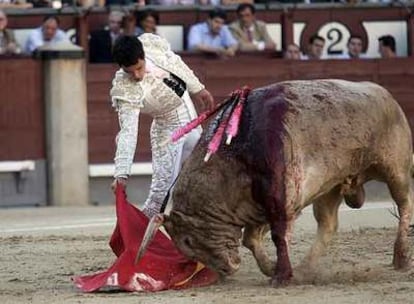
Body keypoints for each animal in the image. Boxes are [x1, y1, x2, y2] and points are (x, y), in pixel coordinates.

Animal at [138, 79, 410, 286]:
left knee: (405, 204)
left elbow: (279, 236)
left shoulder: (278, 197)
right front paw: (274, 269)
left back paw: (401, 258)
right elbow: (251, 240)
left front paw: (281, 275)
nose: (226, 270)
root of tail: (386, 95)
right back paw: (306, 268)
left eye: (188, 241)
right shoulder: (256, 206)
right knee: (327, 224)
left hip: (395, 169)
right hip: (330, 187)